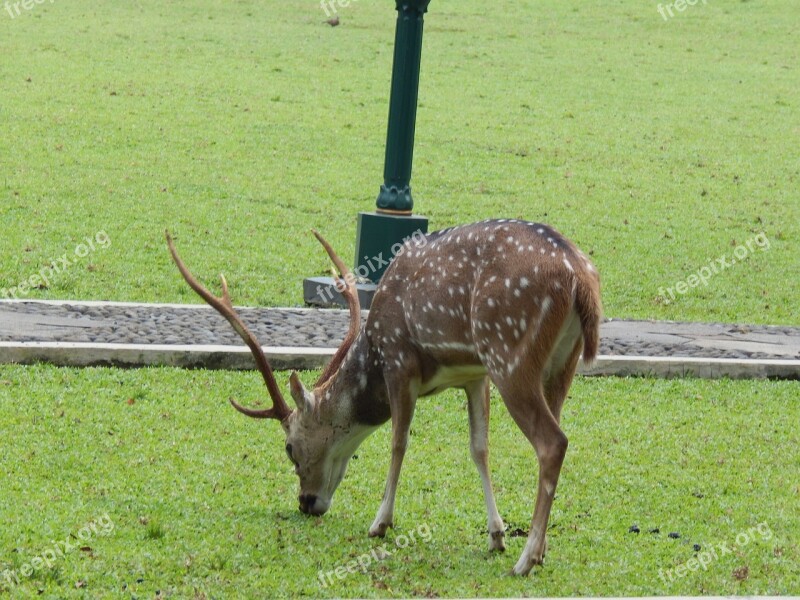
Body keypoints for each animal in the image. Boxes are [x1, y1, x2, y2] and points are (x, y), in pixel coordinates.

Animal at [164, 218, 600, 576]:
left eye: (289, 448)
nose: (306, 503)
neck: (372, 351)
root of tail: (580, 277)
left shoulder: (400, 360)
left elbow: (398, 441)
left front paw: (380, 523)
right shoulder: (474, 375)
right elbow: (479, 448)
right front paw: (495, 536)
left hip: (509, 353)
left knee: (553, 442)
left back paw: (527, 559)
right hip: (560, 363)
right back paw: (540, 549)